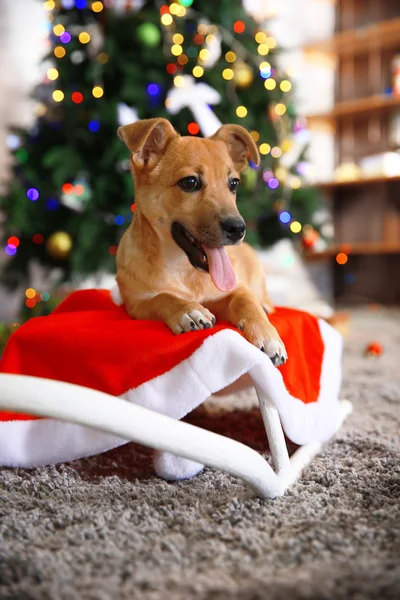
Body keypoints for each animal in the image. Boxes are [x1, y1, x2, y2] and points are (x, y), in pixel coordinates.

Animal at [115, 118, 288, 366]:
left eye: (233, 183)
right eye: (190, 182)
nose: (238, 229)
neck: (185, 270)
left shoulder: (232, 290)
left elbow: (246, 301)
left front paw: (267, 335)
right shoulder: (136, 305)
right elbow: (162, 297)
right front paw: (188, 310)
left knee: (263, 298)